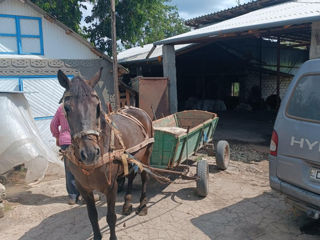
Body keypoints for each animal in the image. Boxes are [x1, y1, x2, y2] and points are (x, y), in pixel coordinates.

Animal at [57, 68, 154, 240]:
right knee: (130, 176)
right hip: (130, 157)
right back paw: (127, 204)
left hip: (145, 155)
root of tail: (137, 110)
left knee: (144, 177)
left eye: (97, 107)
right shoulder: (84, 189)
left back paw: (142, 206)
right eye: (66, 108)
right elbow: (92, 216)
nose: (89, 153)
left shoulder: (111, 186)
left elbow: (110, 217)